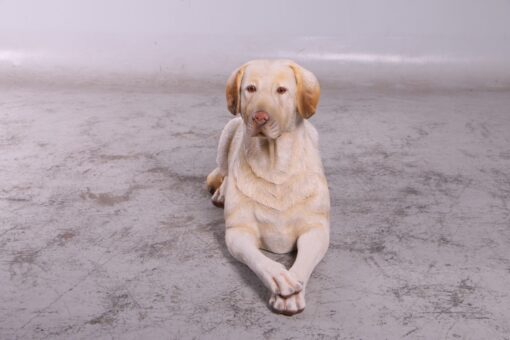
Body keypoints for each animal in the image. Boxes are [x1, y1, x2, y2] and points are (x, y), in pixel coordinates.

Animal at [207, 59, 330, 316]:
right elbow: (259, 259)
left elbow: (303, 260)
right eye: (250, 88)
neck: (274, 165)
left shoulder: (317, 229)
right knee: (223, 170)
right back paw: (222, 191)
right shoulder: (238, 232)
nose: (260, 117)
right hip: (228, 131)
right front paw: (280, 278)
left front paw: (293, 291)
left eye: (281, 90)